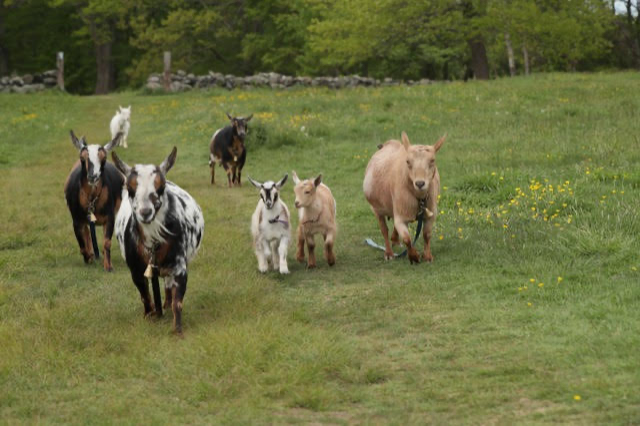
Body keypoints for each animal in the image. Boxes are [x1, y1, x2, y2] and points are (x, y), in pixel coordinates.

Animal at [112, 148, 205, 334]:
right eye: (130, 188)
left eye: (160, 187)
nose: (145, 212)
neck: (153, 243)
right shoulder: (136, 271)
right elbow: (145, 296)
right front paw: (150, 316)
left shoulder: (179, 268)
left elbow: (178, 302)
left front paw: (177, 330)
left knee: (168, 285)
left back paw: (166, 305)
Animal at [362, 131, 448, 262]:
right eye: (407, 161)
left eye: (432, 160)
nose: (420, 183)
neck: (419, 198)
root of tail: (389, 143)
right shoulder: (401, 216)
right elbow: (407, 239)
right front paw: (414, 256)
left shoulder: (431, 213)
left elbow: (427, 235)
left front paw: (427, 256)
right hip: (376, 209)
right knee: (384, 230)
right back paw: (389, 253)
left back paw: (395, 239)